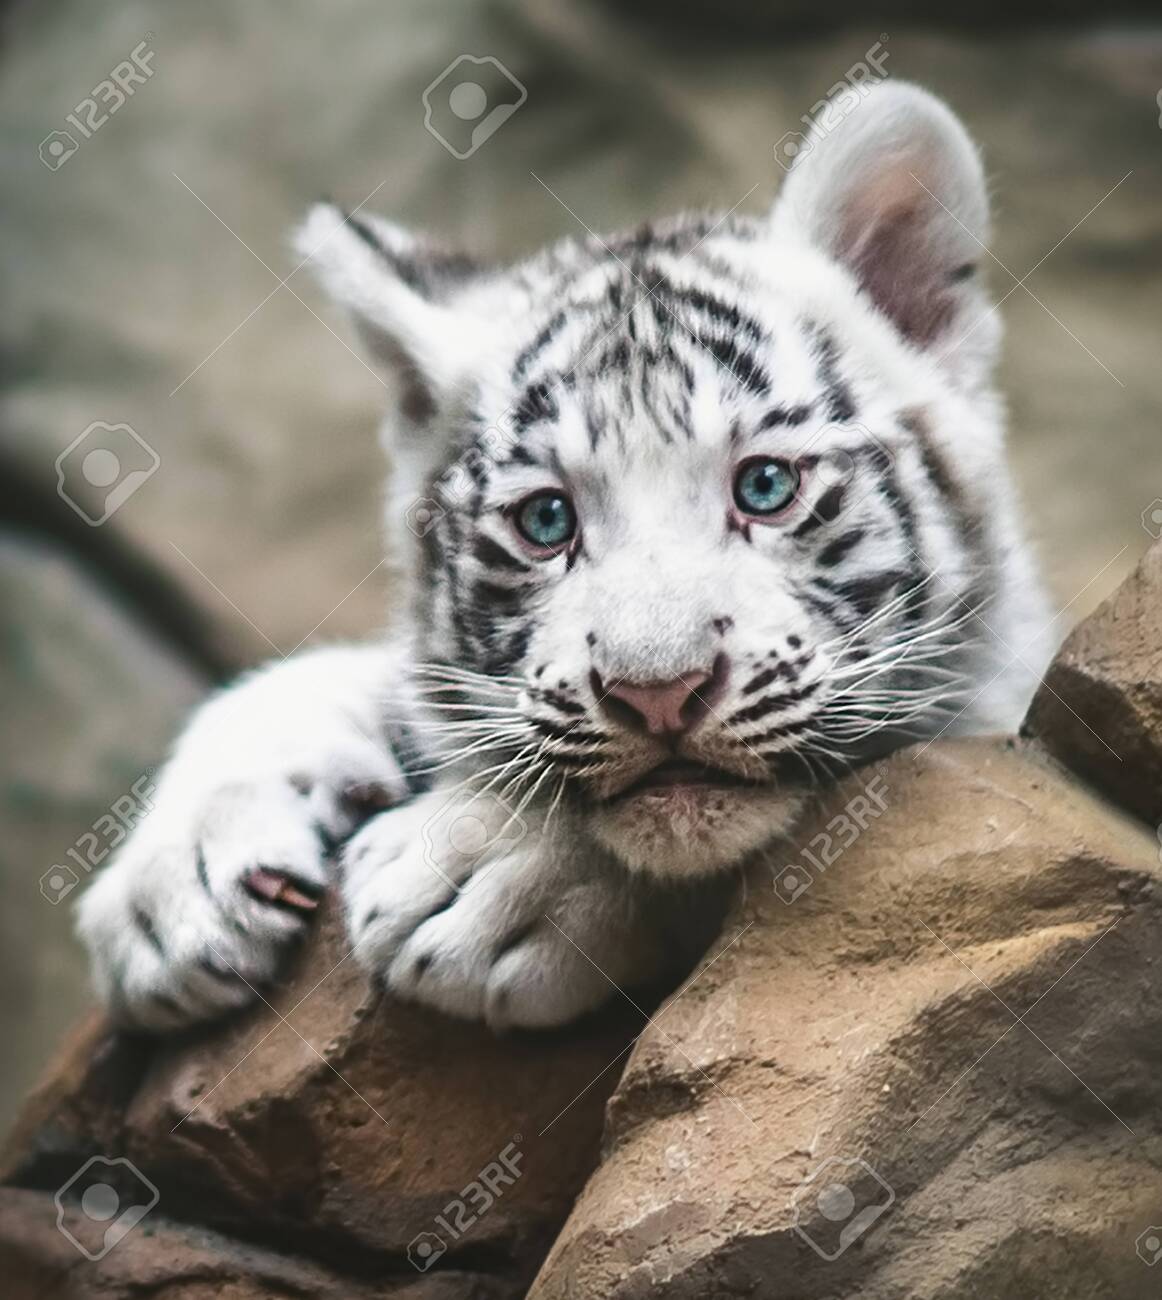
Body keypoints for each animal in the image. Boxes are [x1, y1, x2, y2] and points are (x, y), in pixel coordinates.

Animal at [77, 81, 1051, 1032]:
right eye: (547, 520)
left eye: (766, 486)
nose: (658, 696)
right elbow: (309, 681)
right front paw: (176, 887)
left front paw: (482, 875)